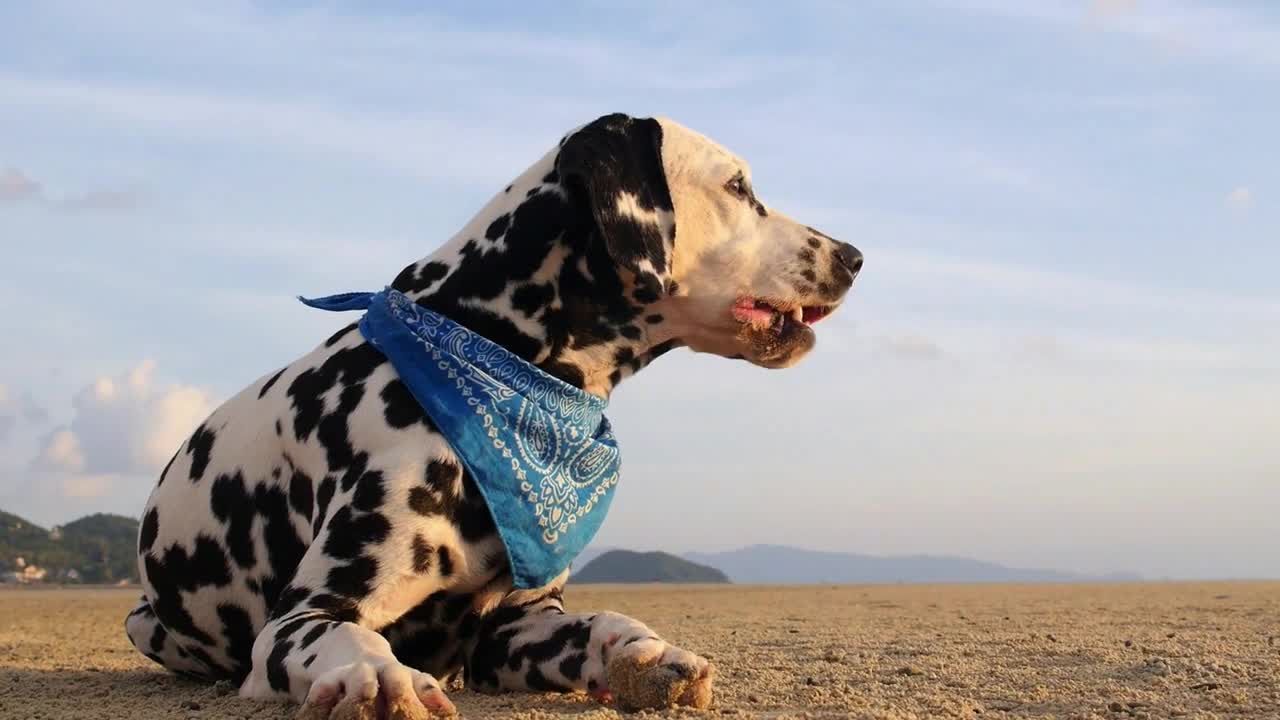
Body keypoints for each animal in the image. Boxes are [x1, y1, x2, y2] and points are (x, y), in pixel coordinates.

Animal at [127, 110, 860, 712]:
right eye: (737, 187)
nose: (853, 257)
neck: (495, 352)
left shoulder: (513, 627)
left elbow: (600, 623)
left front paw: (642, 650)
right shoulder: (302, 619)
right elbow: (350, 641)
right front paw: (378, 677)